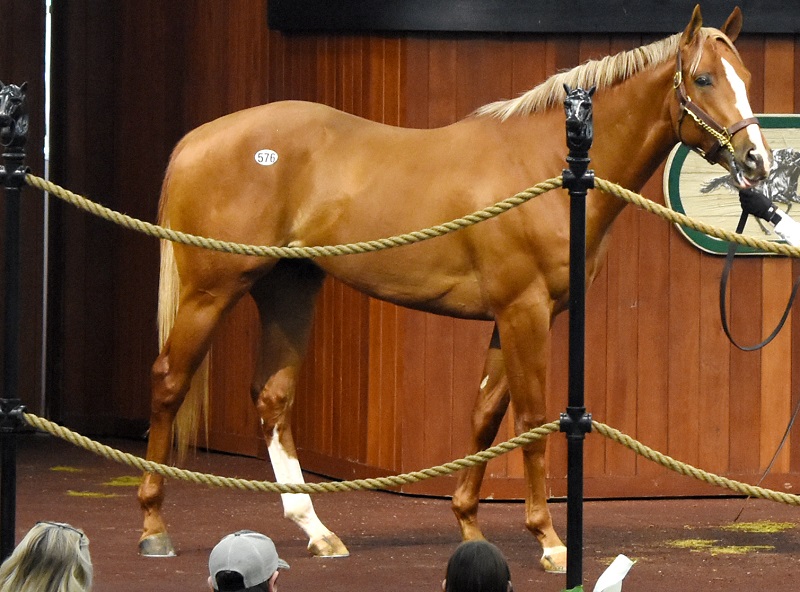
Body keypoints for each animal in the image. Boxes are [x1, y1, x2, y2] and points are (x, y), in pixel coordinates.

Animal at [138, 2, 768, 572]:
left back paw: (317, 531)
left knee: (273, 397)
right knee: (170, 382)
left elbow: (485, 414)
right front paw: (550, 541)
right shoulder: (524, 311)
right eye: (705, 78)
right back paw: (153, 525)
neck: (546, 165)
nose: (757, 161)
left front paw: (467, 522)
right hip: (210, 293)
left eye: (747, 77)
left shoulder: (516, 315)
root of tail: (196, 140)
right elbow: (531, 421)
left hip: (288, 289)